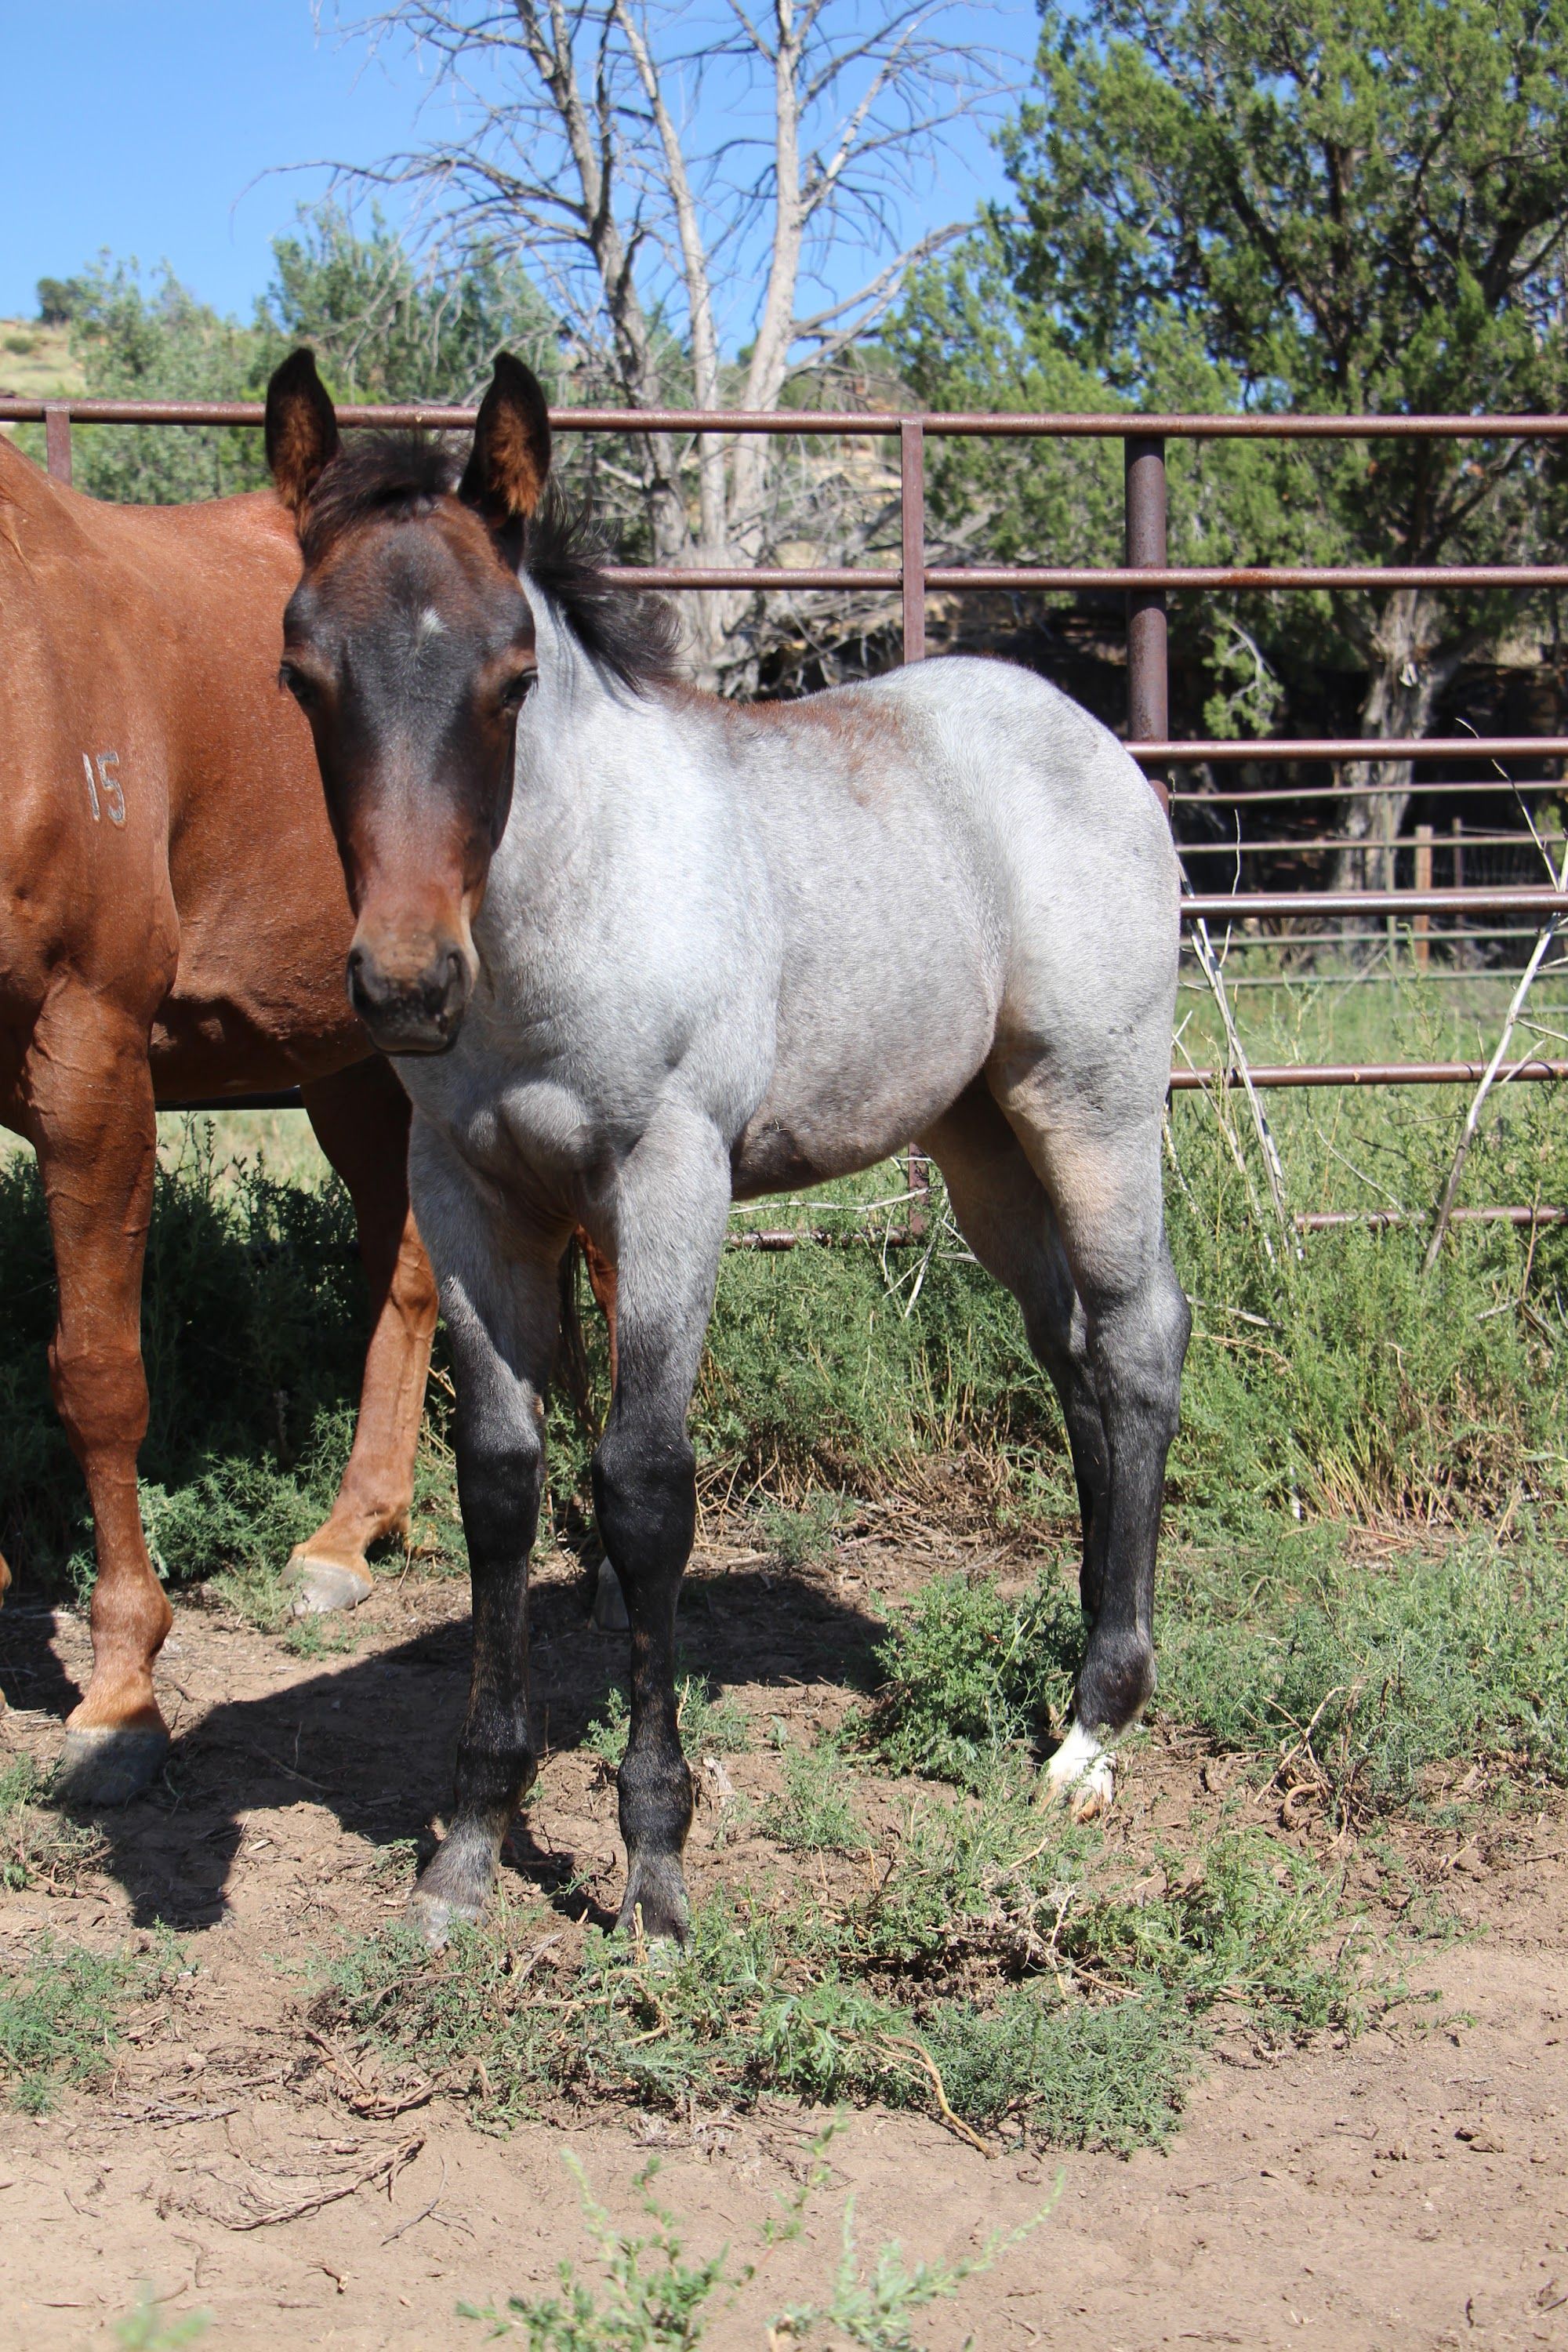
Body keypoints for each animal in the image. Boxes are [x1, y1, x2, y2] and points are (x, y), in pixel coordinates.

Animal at [0, 426, 445, 1805]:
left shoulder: (88, 1056)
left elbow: (98, 1373)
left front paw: (120, 1696)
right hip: (353, 1060)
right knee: (405, 1263)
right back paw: (353, 1533)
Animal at [264, 346, 1191, 1947]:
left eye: (512, 679)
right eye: (301, 675)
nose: (405, 985)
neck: (555, 923)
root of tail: (1086, 737)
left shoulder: (669, 1183)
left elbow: (644, 1490)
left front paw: (653, 1864)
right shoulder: (469, 1194)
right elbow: (500, 1486)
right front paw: (469, 1846)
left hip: (1092, 1102)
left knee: (1136, 1344)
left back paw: (1093, 1733)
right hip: (981, 1143)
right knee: (1073, 1357)